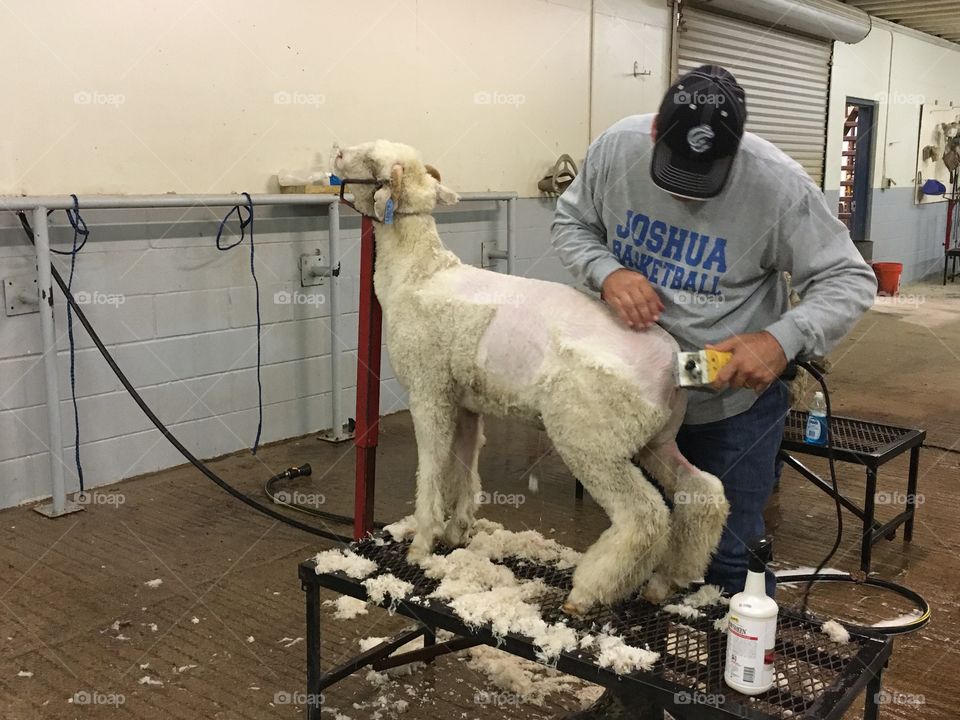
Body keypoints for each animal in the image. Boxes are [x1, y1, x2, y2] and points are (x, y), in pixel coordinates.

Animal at [330, 143, 728, 616]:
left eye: (367, 158)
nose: (336, 152)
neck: (417, 273)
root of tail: (673, 363)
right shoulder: (466, 401)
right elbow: (465, 464)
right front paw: (458, 530)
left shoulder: (429, 391)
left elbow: (432, 468)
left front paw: (423, 542)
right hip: (655, 437)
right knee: (702, 491)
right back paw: (668, 579)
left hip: (591, 436)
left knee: (644, 514)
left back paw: (588, 591)